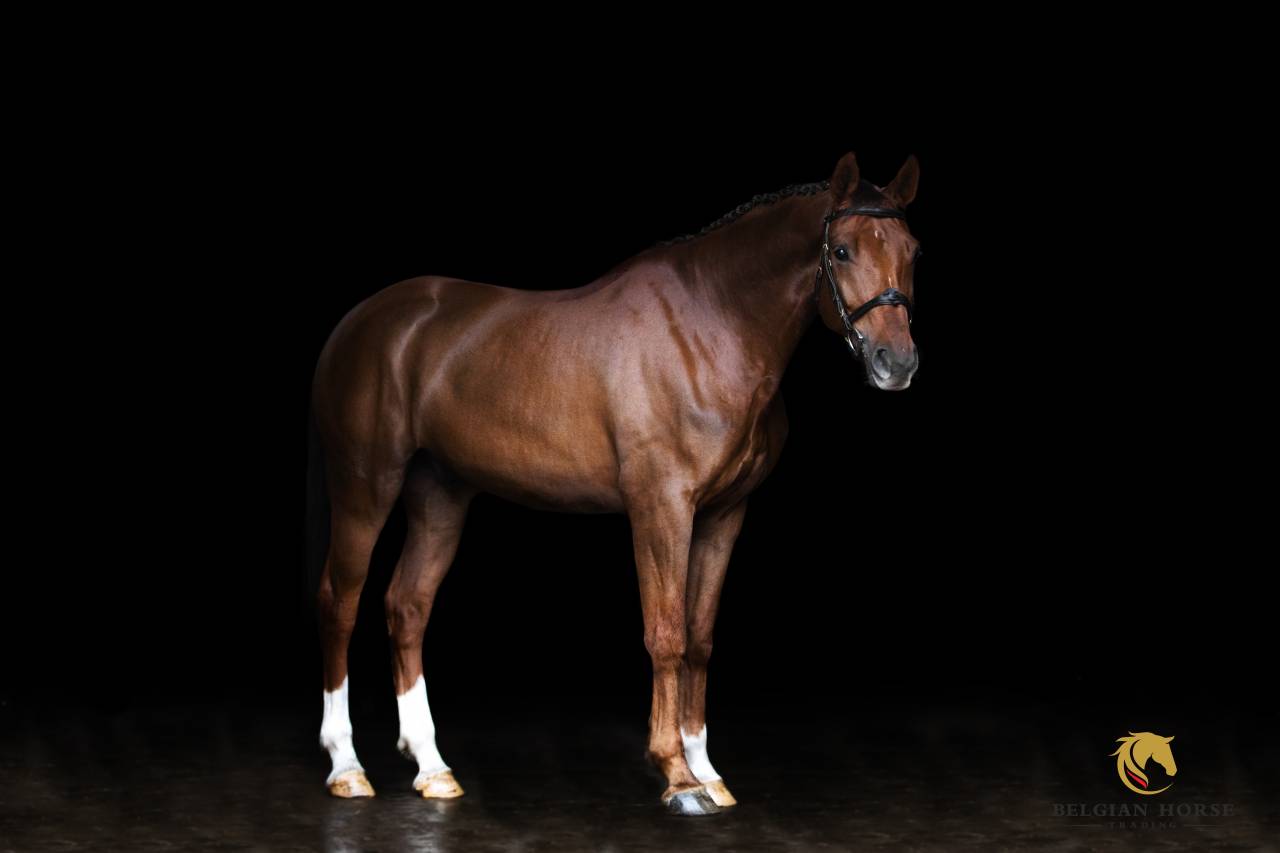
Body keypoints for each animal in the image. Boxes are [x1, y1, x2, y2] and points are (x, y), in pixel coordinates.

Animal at [306, 151, 922, 815]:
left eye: (912, 249)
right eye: (842, 250)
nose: (896, 363)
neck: (712, 327)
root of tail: (360, 322)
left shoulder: (724, 514)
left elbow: (700, 638)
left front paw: (708, 772)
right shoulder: (662, 507)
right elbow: (666, 634)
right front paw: (676, 775)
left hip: (439, 494)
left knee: (408, 606)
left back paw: (432, 766)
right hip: (365, 486)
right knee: (340, 602)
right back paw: (346, 766)